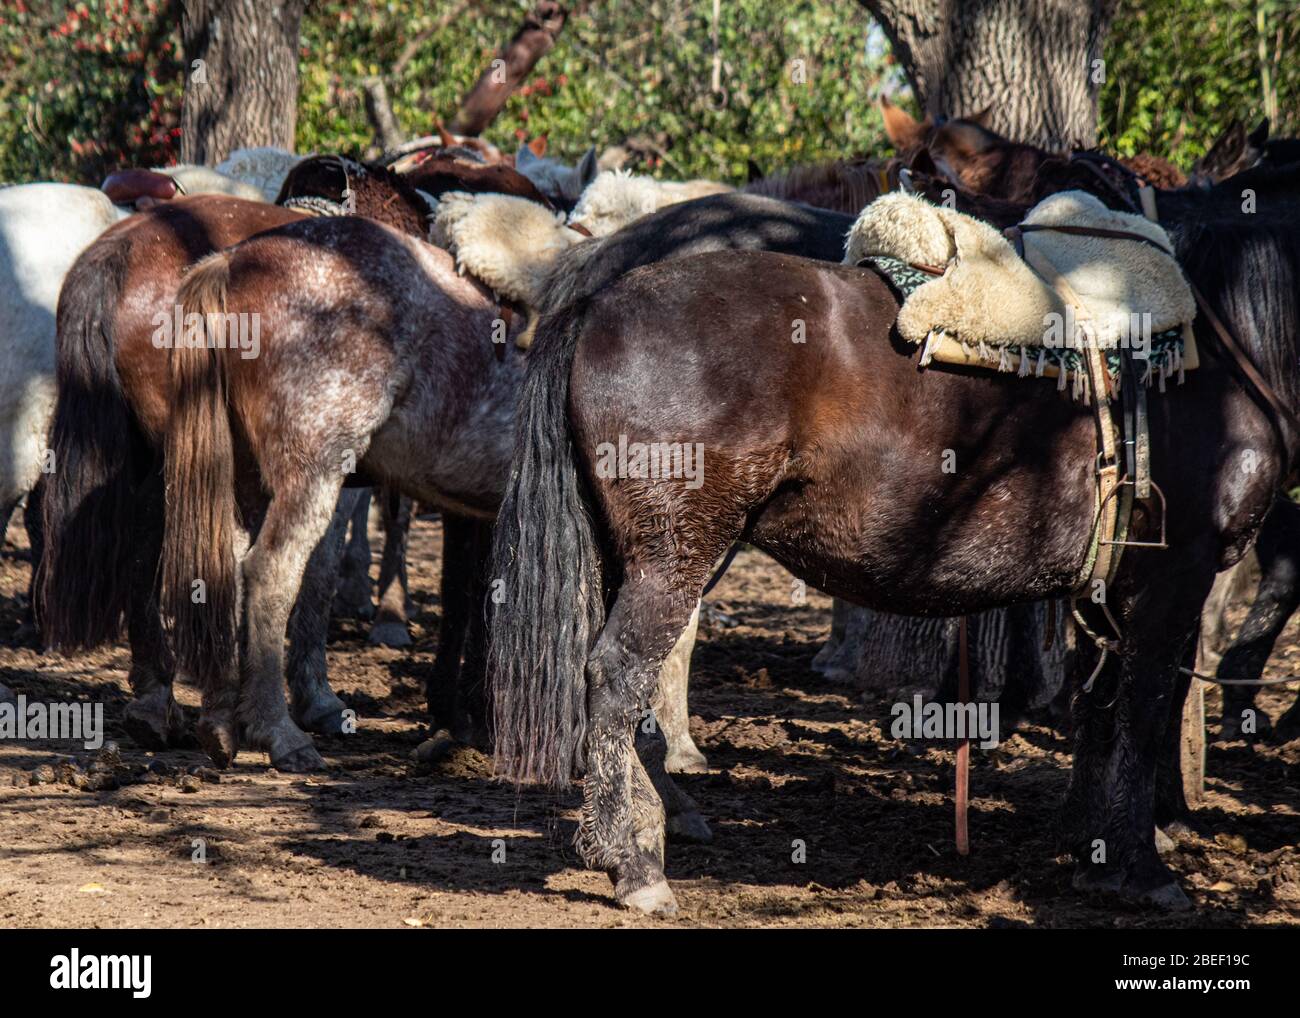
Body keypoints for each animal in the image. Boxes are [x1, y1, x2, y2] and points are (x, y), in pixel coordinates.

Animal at [486, 159, 1300, 915]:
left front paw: (1094, 850)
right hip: (677, 556)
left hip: (635, 555)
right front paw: (1141, 865)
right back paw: (634, 864)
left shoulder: (1110, 592)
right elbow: (1145, 710)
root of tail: (600, 301)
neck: (1220, 350)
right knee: (618, 675)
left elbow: (1101, 715)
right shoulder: (1174, 580)